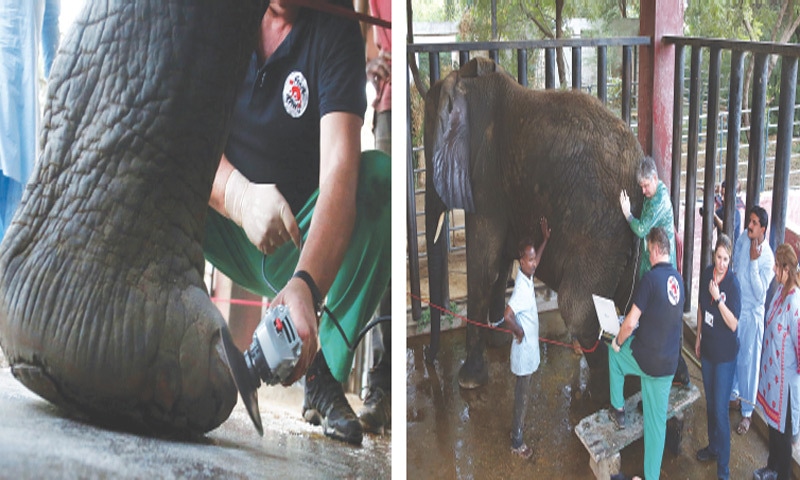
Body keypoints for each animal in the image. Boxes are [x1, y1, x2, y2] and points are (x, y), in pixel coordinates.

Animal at [424, 57, 644, 394]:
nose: (428, 358)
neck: (467, 82)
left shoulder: (486, 177)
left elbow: (483, 264)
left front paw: (469, 380)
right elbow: (499, 262)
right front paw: (500, 340)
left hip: (602, 236)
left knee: (577, 310)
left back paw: (612, 387)